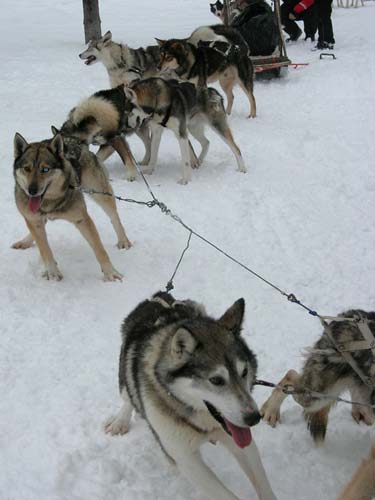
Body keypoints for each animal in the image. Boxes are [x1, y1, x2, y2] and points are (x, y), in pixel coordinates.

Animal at [12, 133, 131, 282]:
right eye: (26, 169)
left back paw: (123, 241)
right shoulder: (33, 220)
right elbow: (44, 249)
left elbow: (100, 250)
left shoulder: (82, 220)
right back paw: (25, 242)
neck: (50, 203)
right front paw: (52, 272)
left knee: (114, 217)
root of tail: (72, 138)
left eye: (45, 169)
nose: (31, 190)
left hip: (100, 193)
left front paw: (110, 272)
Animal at [104, 292, 278, 500]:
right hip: (125, 376)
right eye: (216, 380)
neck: (203, 423)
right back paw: (120, 421)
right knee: (127, 398)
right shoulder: (185, 458)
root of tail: (158, 296)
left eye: (244, 372)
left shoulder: (242, 443)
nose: (254, 418)